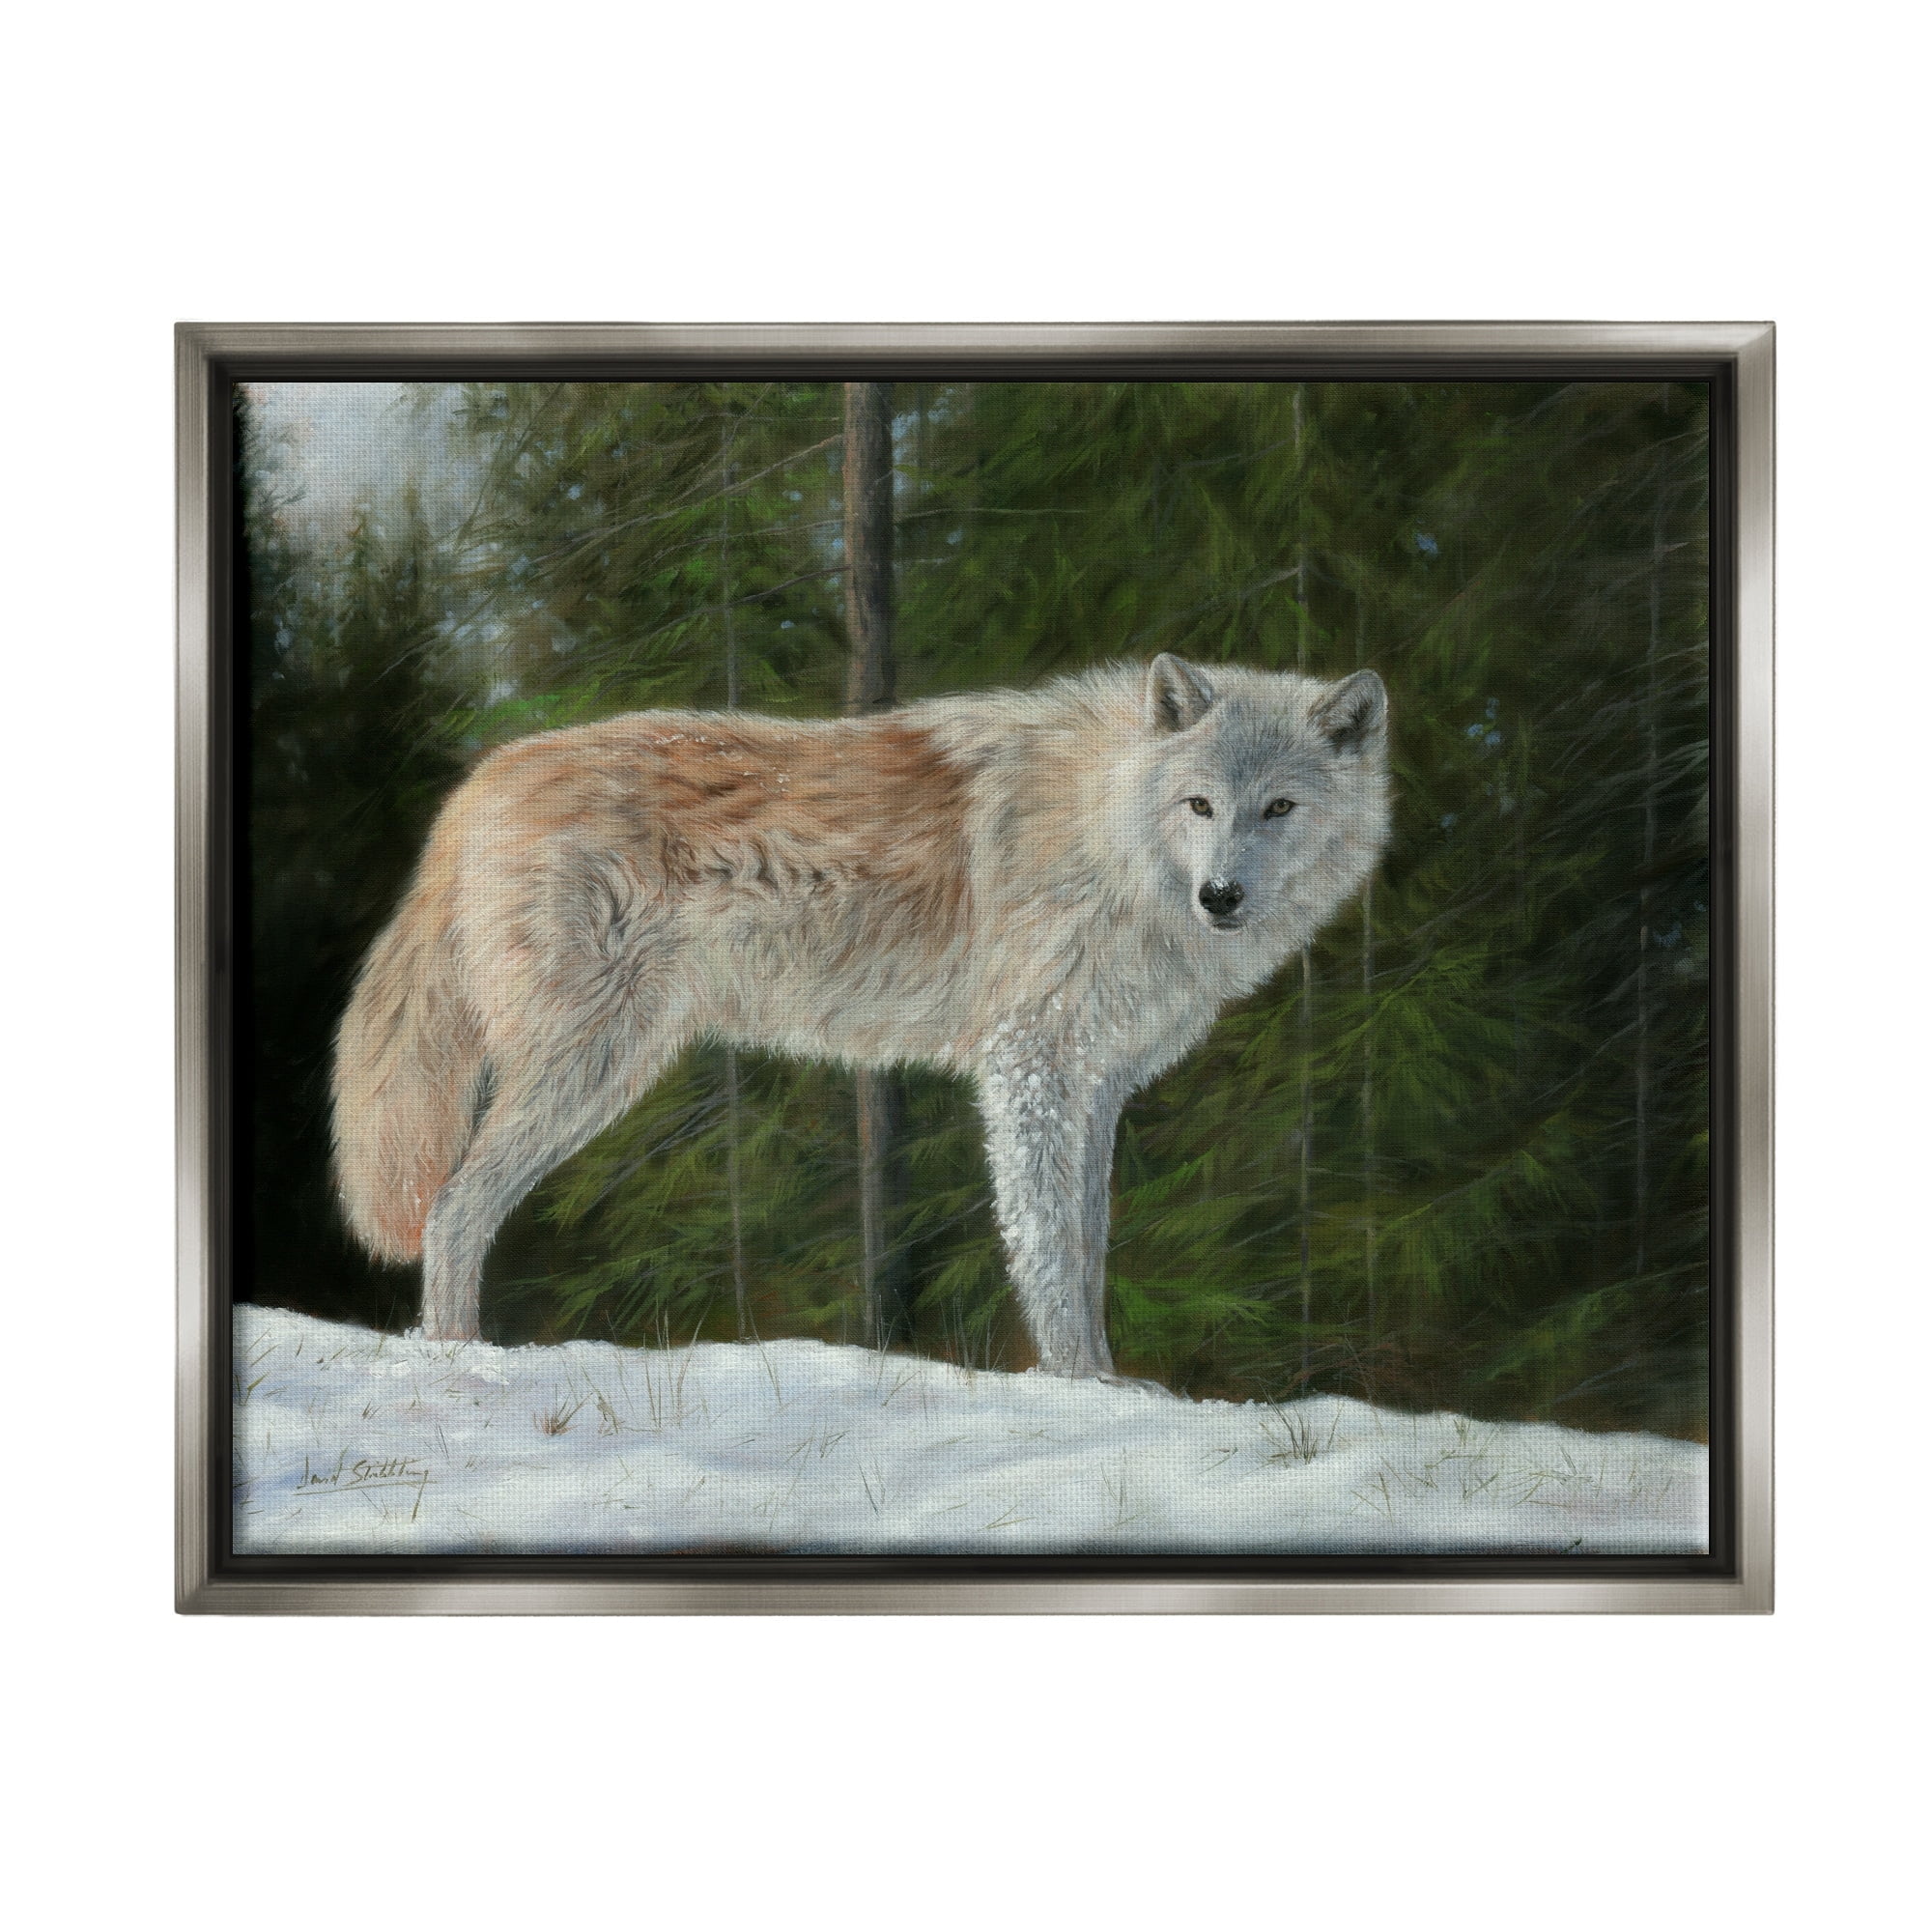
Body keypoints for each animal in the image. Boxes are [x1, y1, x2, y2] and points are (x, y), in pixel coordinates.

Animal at [331, 653, 1390, 1381]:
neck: (1109, 829)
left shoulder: (1095, 1085)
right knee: (453, 1208)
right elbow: (1049, 1253)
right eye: (1200, 804)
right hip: (590, 1069)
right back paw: (460, 1362)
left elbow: (1088, 1250)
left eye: (1279, 808)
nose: (1221, 897)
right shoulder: (1029, 1067)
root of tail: (480, 782)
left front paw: (1109, 1383)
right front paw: (1082, 1386)